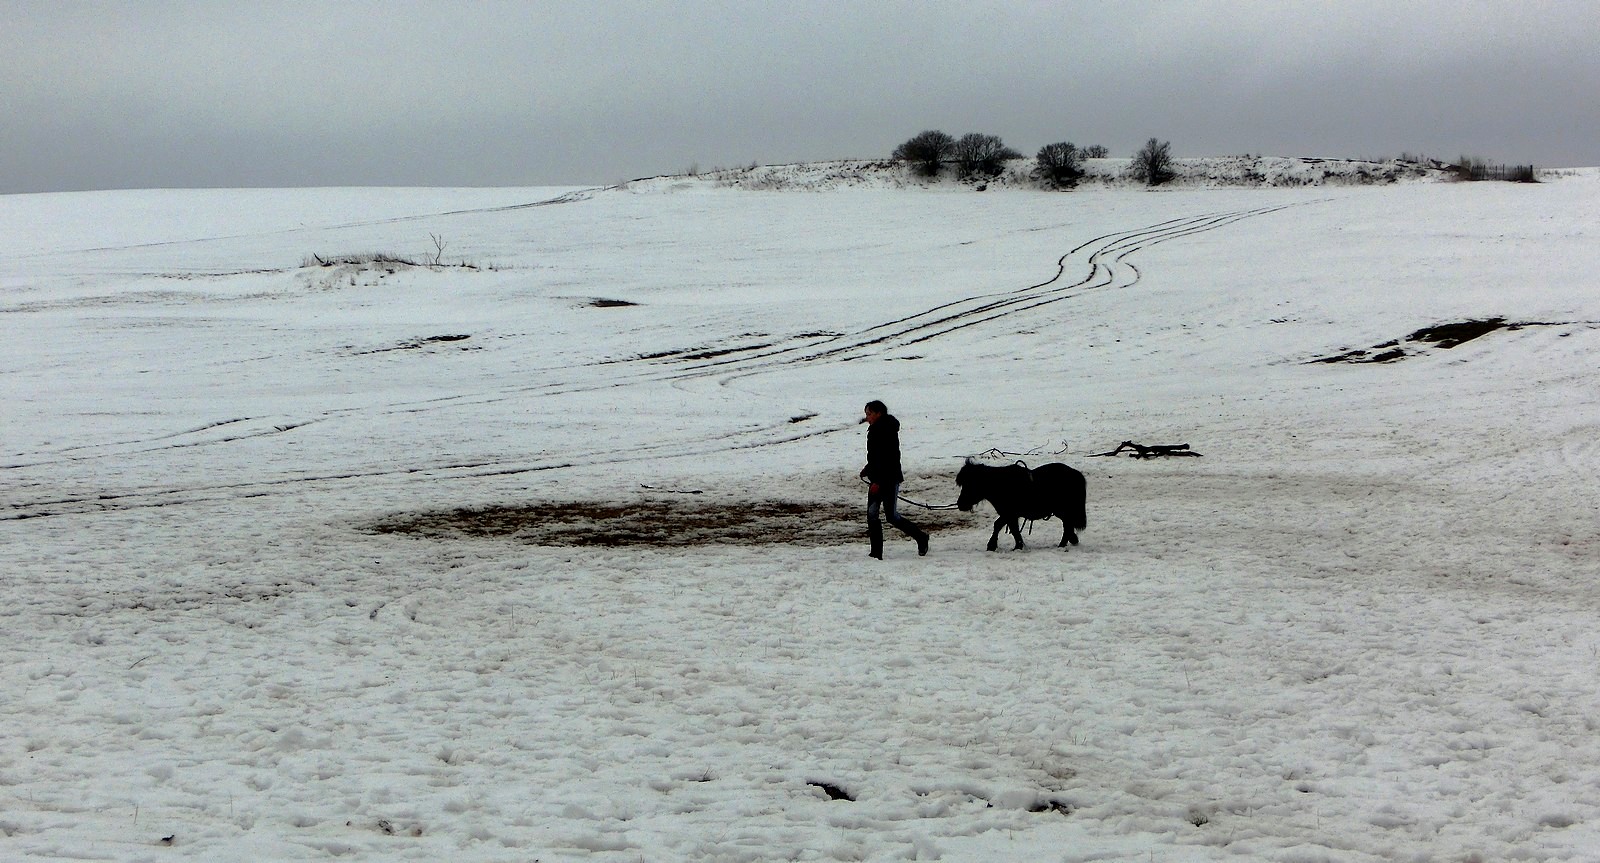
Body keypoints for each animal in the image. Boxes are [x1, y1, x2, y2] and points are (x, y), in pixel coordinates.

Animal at [947, 457, 1088, 553]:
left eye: (971, 484)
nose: (961, 504)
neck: (1000, 485)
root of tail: (1076, 474)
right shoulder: (1009, 515)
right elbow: (1007, 527)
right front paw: (1015, 546)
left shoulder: (1009, 513)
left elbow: (1005, 527)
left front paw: (1000, 546)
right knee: (1068, 525)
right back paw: (1071, 540)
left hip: (1062, 510)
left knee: (1067, 525)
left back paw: (1062, 545)